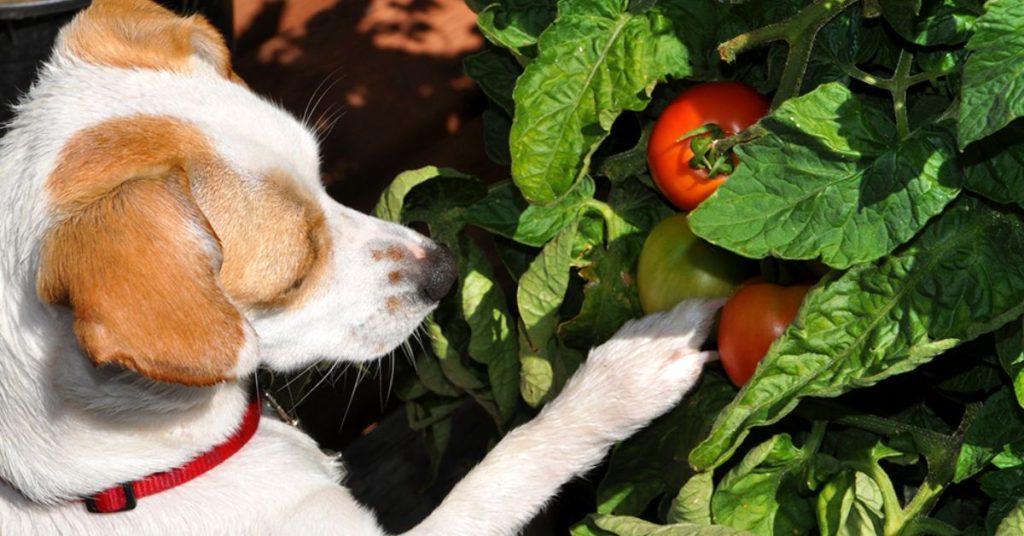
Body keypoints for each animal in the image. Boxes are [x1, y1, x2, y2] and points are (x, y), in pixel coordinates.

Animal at [0, 2, 720, 532]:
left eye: (325, 178)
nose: (444, 269)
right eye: (294, 276)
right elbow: (509, 464)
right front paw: (626, 377)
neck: (120, 479)